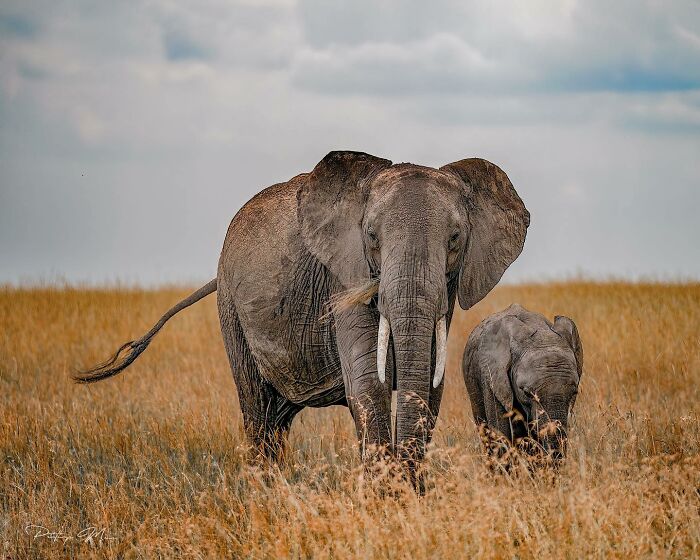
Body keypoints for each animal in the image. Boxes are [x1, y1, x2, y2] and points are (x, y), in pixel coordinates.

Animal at [75, 151, 529, 480]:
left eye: (455, 239)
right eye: (371, 237)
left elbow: (430, 390)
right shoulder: (343, 278)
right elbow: (368, 386)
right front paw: (390, 498)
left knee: (278, 420)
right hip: (232, 314)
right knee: (257, 411)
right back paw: (265, 492)